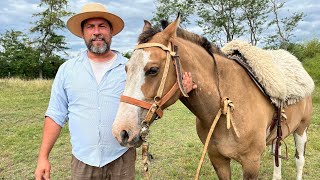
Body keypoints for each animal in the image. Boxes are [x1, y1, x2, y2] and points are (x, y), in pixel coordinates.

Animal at [110, 14, 312, 179]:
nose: (122, 132)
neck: (225, 107)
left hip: (301, 130)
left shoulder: (251, 163)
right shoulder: (218, 159)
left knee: (299, 160)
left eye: (153, 70)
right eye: (126, 68)